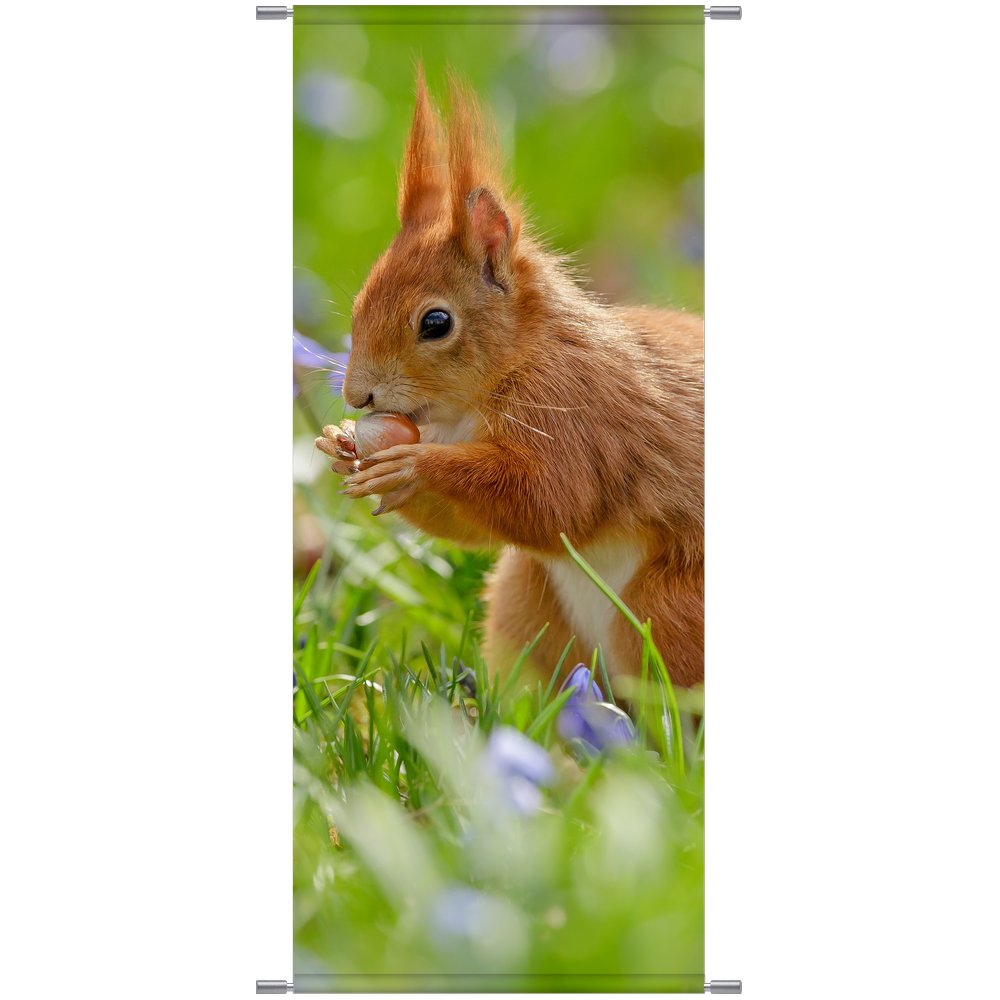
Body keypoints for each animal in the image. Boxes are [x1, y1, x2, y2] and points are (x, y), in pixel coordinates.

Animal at [315, 72, 704, 689]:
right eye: (358, 303)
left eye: (436, 323)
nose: (357, 396)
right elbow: (473, 526)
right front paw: (341, 446)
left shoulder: (578, 411)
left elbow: (554, 500)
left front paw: (415, 465)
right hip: (525, 601)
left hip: (669, 609)